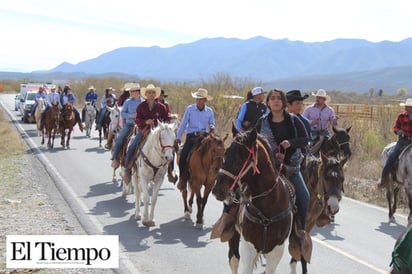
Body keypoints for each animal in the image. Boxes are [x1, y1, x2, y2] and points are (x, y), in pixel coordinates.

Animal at [211, 128, 294, 274]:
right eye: (226, 153)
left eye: (239, 159)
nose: (217, 190)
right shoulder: (249, 247)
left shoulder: (276, 251)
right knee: (234, 259)